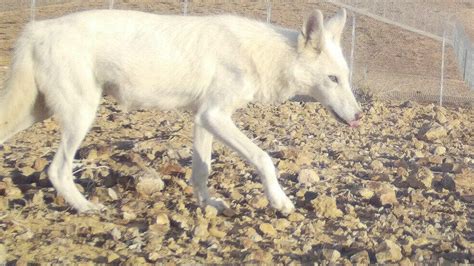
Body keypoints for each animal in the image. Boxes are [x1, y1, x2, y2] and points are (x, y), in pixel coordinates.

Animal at [0, 9, 362, 215]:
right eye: (333, 79)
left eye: (347, 77)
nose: (358, 116)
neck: (264, 55)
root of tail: (36, 29)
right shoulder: (215, 116)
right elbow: (264, 159)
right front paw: (280, 202)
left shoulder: (204, 119)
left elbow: (201, 171)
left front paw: (209, 205)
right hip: (81, 114)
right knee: (58, 170)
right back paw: (87, 207)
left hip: (38, 112)